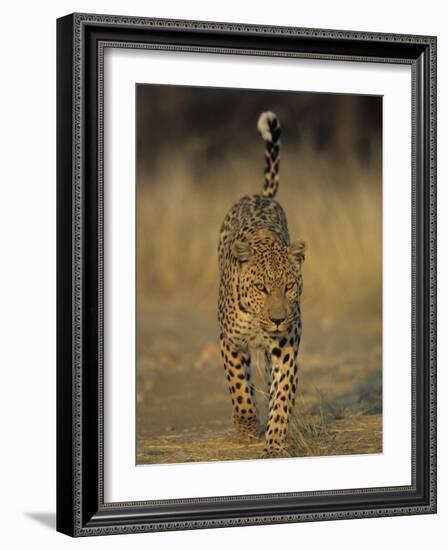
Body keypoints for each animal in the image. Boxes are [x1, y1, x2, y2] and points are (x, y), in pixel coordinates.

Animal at [218, 110, 308, 460]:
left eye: (290, 286)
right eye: (261, 289)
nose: (279, 319)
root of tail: (259, 196)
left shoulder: (285, 348)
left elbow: (282, 396)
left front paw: (275, 444)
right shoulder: (230, 341)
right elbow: (238, 385)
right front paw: (246, 425)